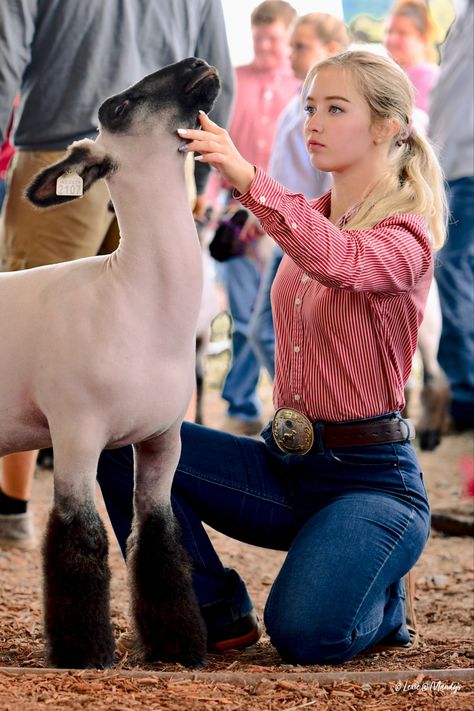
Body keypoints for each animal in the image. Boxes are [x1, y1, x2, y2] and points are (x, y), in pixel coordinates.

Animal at [0, 58, 221, 672]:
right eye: (117, 107)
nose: (199, 64)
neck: (135, 302)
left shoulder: (163, 438)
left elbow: (159, 539)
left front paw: (178, 647)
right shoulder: (75, 432)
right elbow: (82, 540)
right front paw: (83, 653)